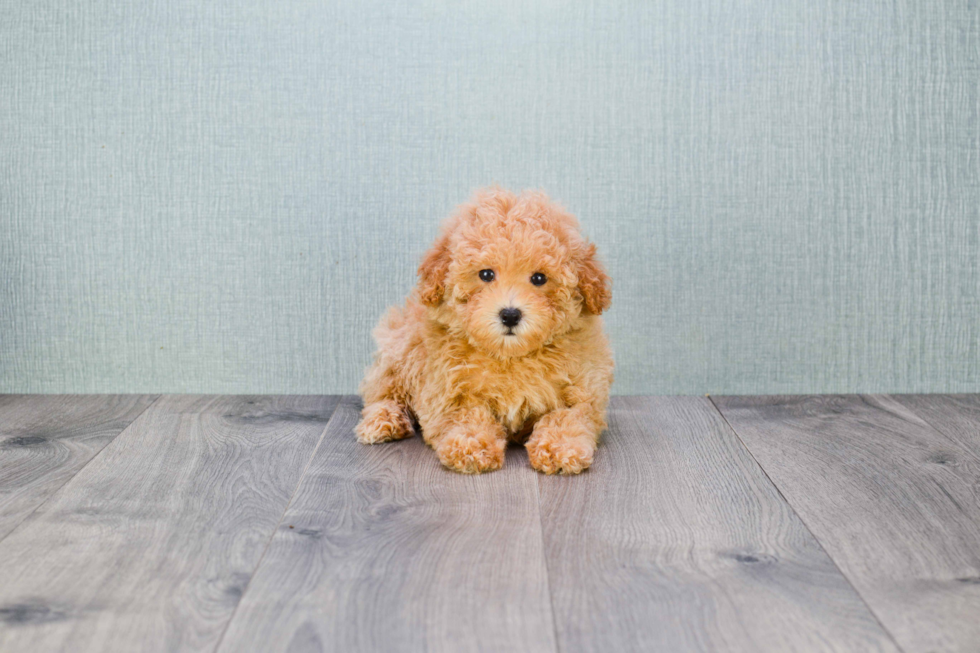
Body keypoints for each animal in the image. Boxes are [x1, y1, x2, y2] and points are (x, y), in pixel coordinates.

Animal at [352, 188, 612, 474]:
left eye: (539, 278)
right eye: (486, 274)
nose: (510, 315)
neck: (510, 356)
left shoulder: (583, 388)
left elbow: (567, 416)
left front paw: (561, 447)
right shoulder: (447, 390)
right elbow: (466, 415)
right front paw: (472, 446)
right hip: (400, 349)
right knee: (382, 393)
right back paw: (383, 421)